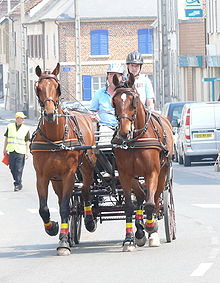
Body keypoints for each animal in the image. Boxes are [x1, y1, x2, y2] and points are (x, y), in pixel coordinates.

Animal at [30, 63, 96, 256]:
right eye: (38, 88)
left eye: (57, 87)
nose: (50, 114)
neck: (56, 138)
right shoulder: (42, 176)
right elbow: (44, 209)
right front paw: (52, 228)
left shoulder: (69, 175)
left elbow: (65, 207)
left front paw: (64, 243)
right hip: (56, 180)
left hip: (87, 167)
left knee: (86, 191)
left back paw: (89, 220)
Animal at [111, 74, 174, 252]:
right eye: (114, 101)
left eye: (134, 100)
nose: (124, 132)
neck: (135, 140)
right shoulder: (125, 175)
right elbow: (129, 206)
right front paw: (129, 239)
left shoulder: (151, 173)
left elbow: (150, 204)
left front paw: (152, 230)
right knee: (139, 196)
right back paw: (139, 232)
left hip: (163, 172)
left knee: (156, 198)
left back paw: (152, 228)